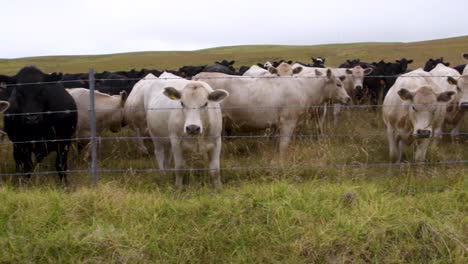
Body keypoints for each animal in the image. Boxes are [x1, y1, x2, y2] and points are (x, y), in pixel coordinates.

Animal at [192, 69, 350, 158]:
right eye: (338, 84)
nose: (348, 98)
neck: (304, 88)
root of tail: (200, 76)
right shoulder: (288, 120)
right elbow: (284, 144)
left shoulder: (276, 124)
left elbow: (274, 141)